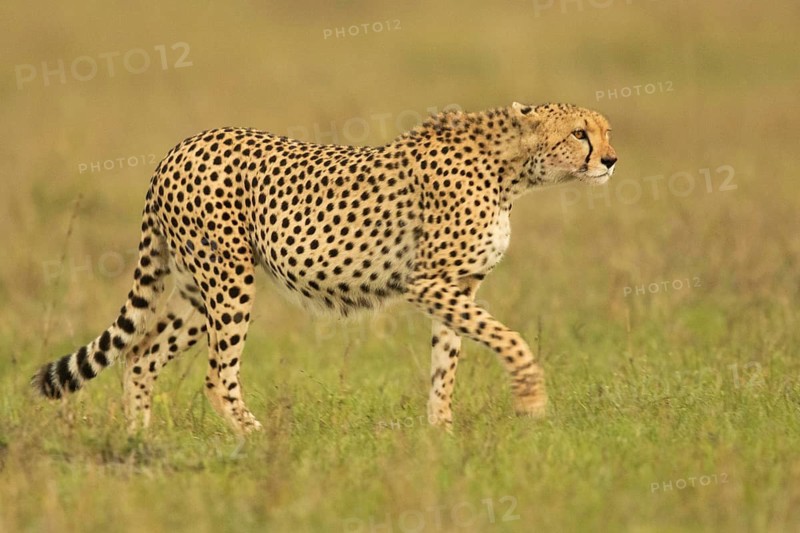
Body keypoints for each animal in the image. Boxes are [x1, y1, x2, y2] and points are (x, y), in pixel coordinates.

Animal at [32, 101, 617, 435]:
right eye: (580, 134)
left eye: (605, 131)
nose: (611, 160)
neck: (512, 169)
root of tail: (177, 149)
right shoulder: (427, 283)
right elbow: (509, 338)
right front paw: (531, 398)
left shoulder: (458, 286)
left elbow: (446, 363)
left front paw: (440, 431)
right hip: (230, 282)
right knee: (217, 375)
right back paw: (256, 436)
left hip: (199, 294)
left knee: (139, 355)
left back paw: (141, 441)